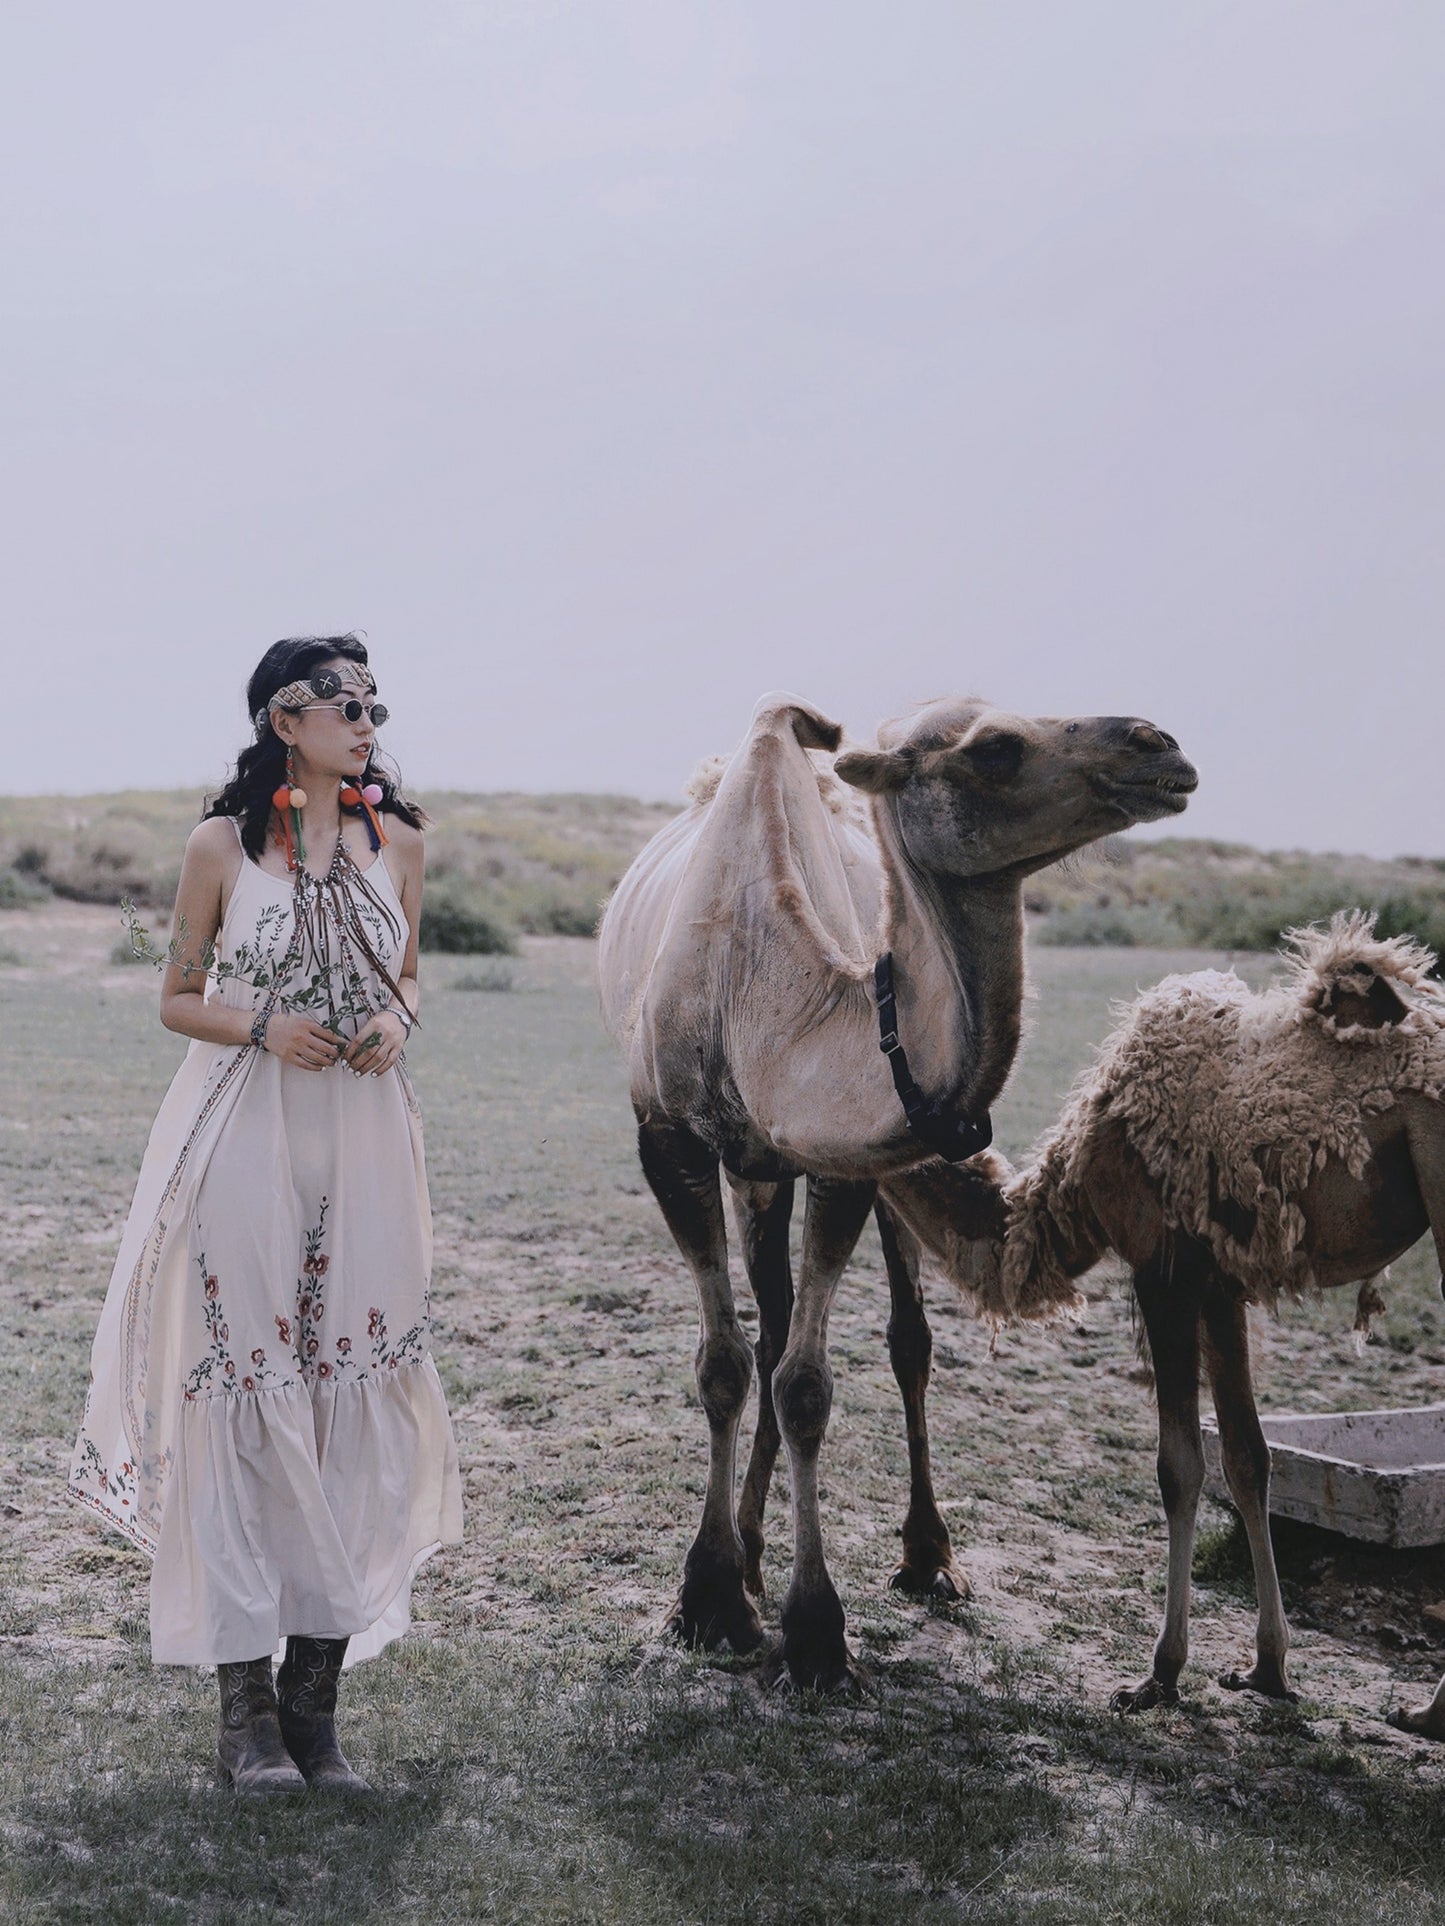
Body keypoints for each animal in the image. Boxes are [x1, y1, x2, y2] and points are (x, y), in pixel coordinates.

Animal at [601, 693, 1202, 1687]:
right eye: (994, 748)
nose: (1160, 746)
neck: (752, 979)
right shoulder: (667, 1139)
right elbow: (726, 1365)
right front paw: (712, 1599)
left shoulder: (846, 1161)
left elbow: (806, 1383)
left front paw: (812, 1634)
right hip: (752, 1166)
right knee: (767, 1323)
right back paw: (752, 1554)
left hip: (822, 1170)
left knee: (898, 1340)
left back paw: (924, 1556)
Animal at [890, 916, 1445, 1733]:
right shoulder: (1219, 1284)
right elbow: (1247, 1457)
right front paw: (1266, 1669)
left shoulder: (1163, 1269)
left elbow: (1177, 1465)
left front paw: (1158, 1675)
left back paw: (1428, 1713)